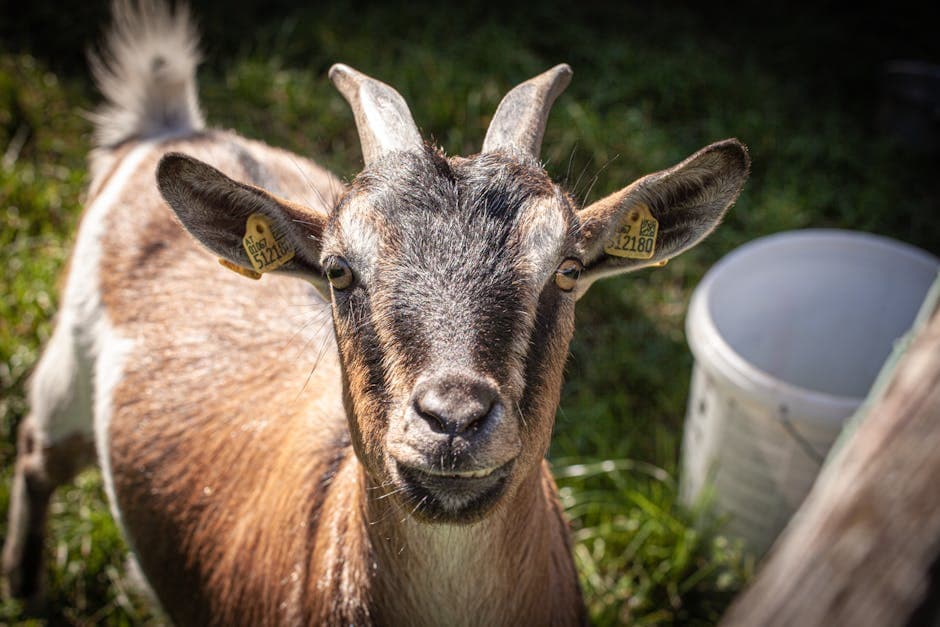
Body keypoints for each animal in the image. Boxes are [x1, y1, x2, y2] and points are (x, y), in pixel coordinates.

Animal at [2, 2, 749, 624]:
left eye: (566, 270)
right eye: (338, 270)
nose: (454, 420)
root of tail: (169, 127)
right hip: (67, 373)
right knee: (37, 449)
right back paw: (25, 588)